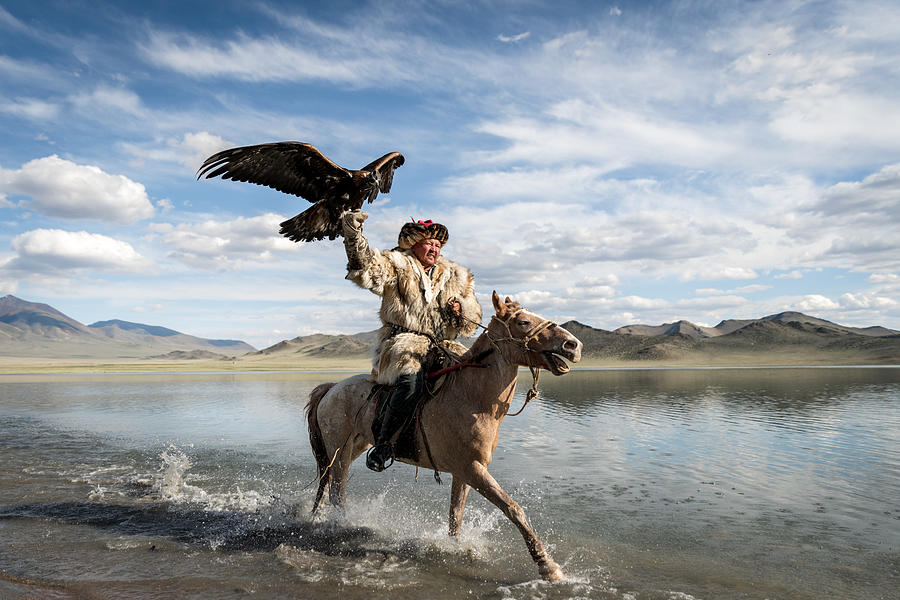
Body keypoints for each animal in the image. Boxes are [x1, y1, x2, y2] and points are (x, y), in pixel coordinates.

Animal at [302, 290, 584, 580]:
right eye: (524, 322)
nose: (574, 346)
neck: (473, 397)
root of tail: (331, 388)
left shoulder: (465, 472)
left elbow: (455, 515)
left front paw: (456, 548)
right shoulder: (473, 468)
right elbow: (513, 508)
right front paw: (548, 567)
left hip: (354, 447)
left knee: (330, 489)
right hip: (339, 450)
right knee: (337, 493)